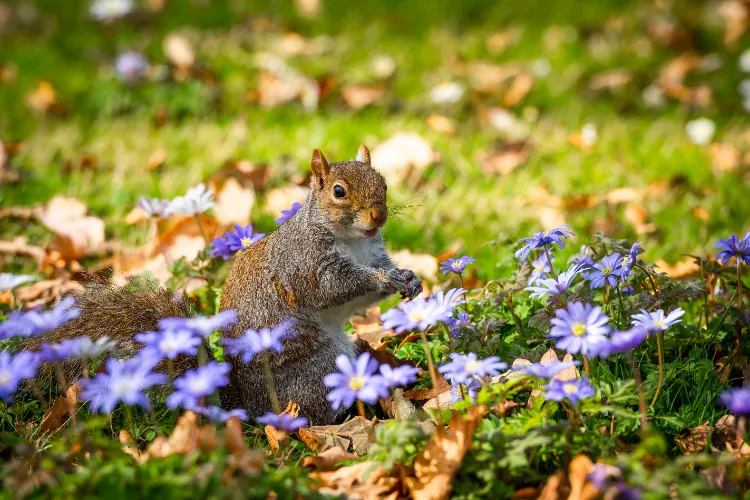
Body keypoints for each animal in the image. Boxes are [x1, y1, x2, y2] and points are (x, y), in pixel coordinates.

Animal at [27, 146, 424, 426]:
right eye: (339, 192)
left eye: (383, 183)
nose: (379, 215)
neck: (353, 240)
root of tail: (246, 404)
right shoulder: (307, 264)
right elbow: (336, 288)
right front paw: (386, 279)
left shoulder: (372, 252)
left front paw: (408, 278)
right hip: (320, 368)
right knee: (313, 412)